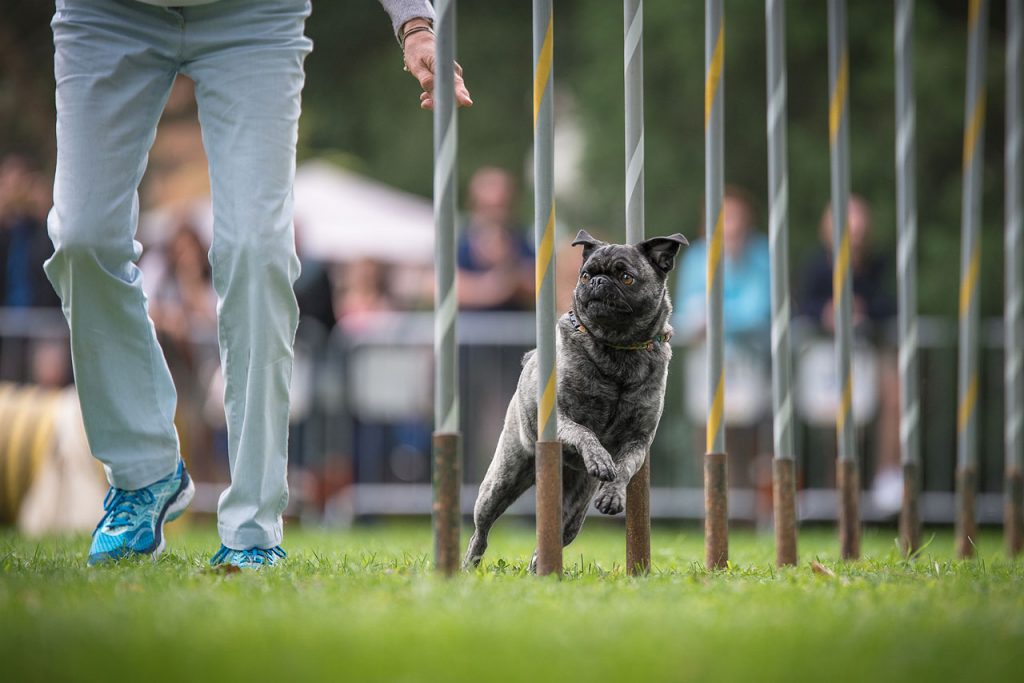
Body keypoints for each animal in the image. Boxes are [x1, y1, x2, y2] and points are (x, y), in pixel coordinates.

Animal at [464, 227, 688, 569]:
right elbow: (585, 433)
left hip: (571, 515)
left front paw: (612, 494)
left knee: (551, 539)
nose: (597, 281)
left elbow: (624, 469)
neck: (617, 349)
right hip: (501, 482)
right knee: (481, 530)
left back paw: (539, 564)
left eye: (626, 277)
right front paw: (598, 458)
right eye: (585, 274)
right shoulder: (562, 420)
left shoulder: (638, 441)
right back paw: (468, 563)